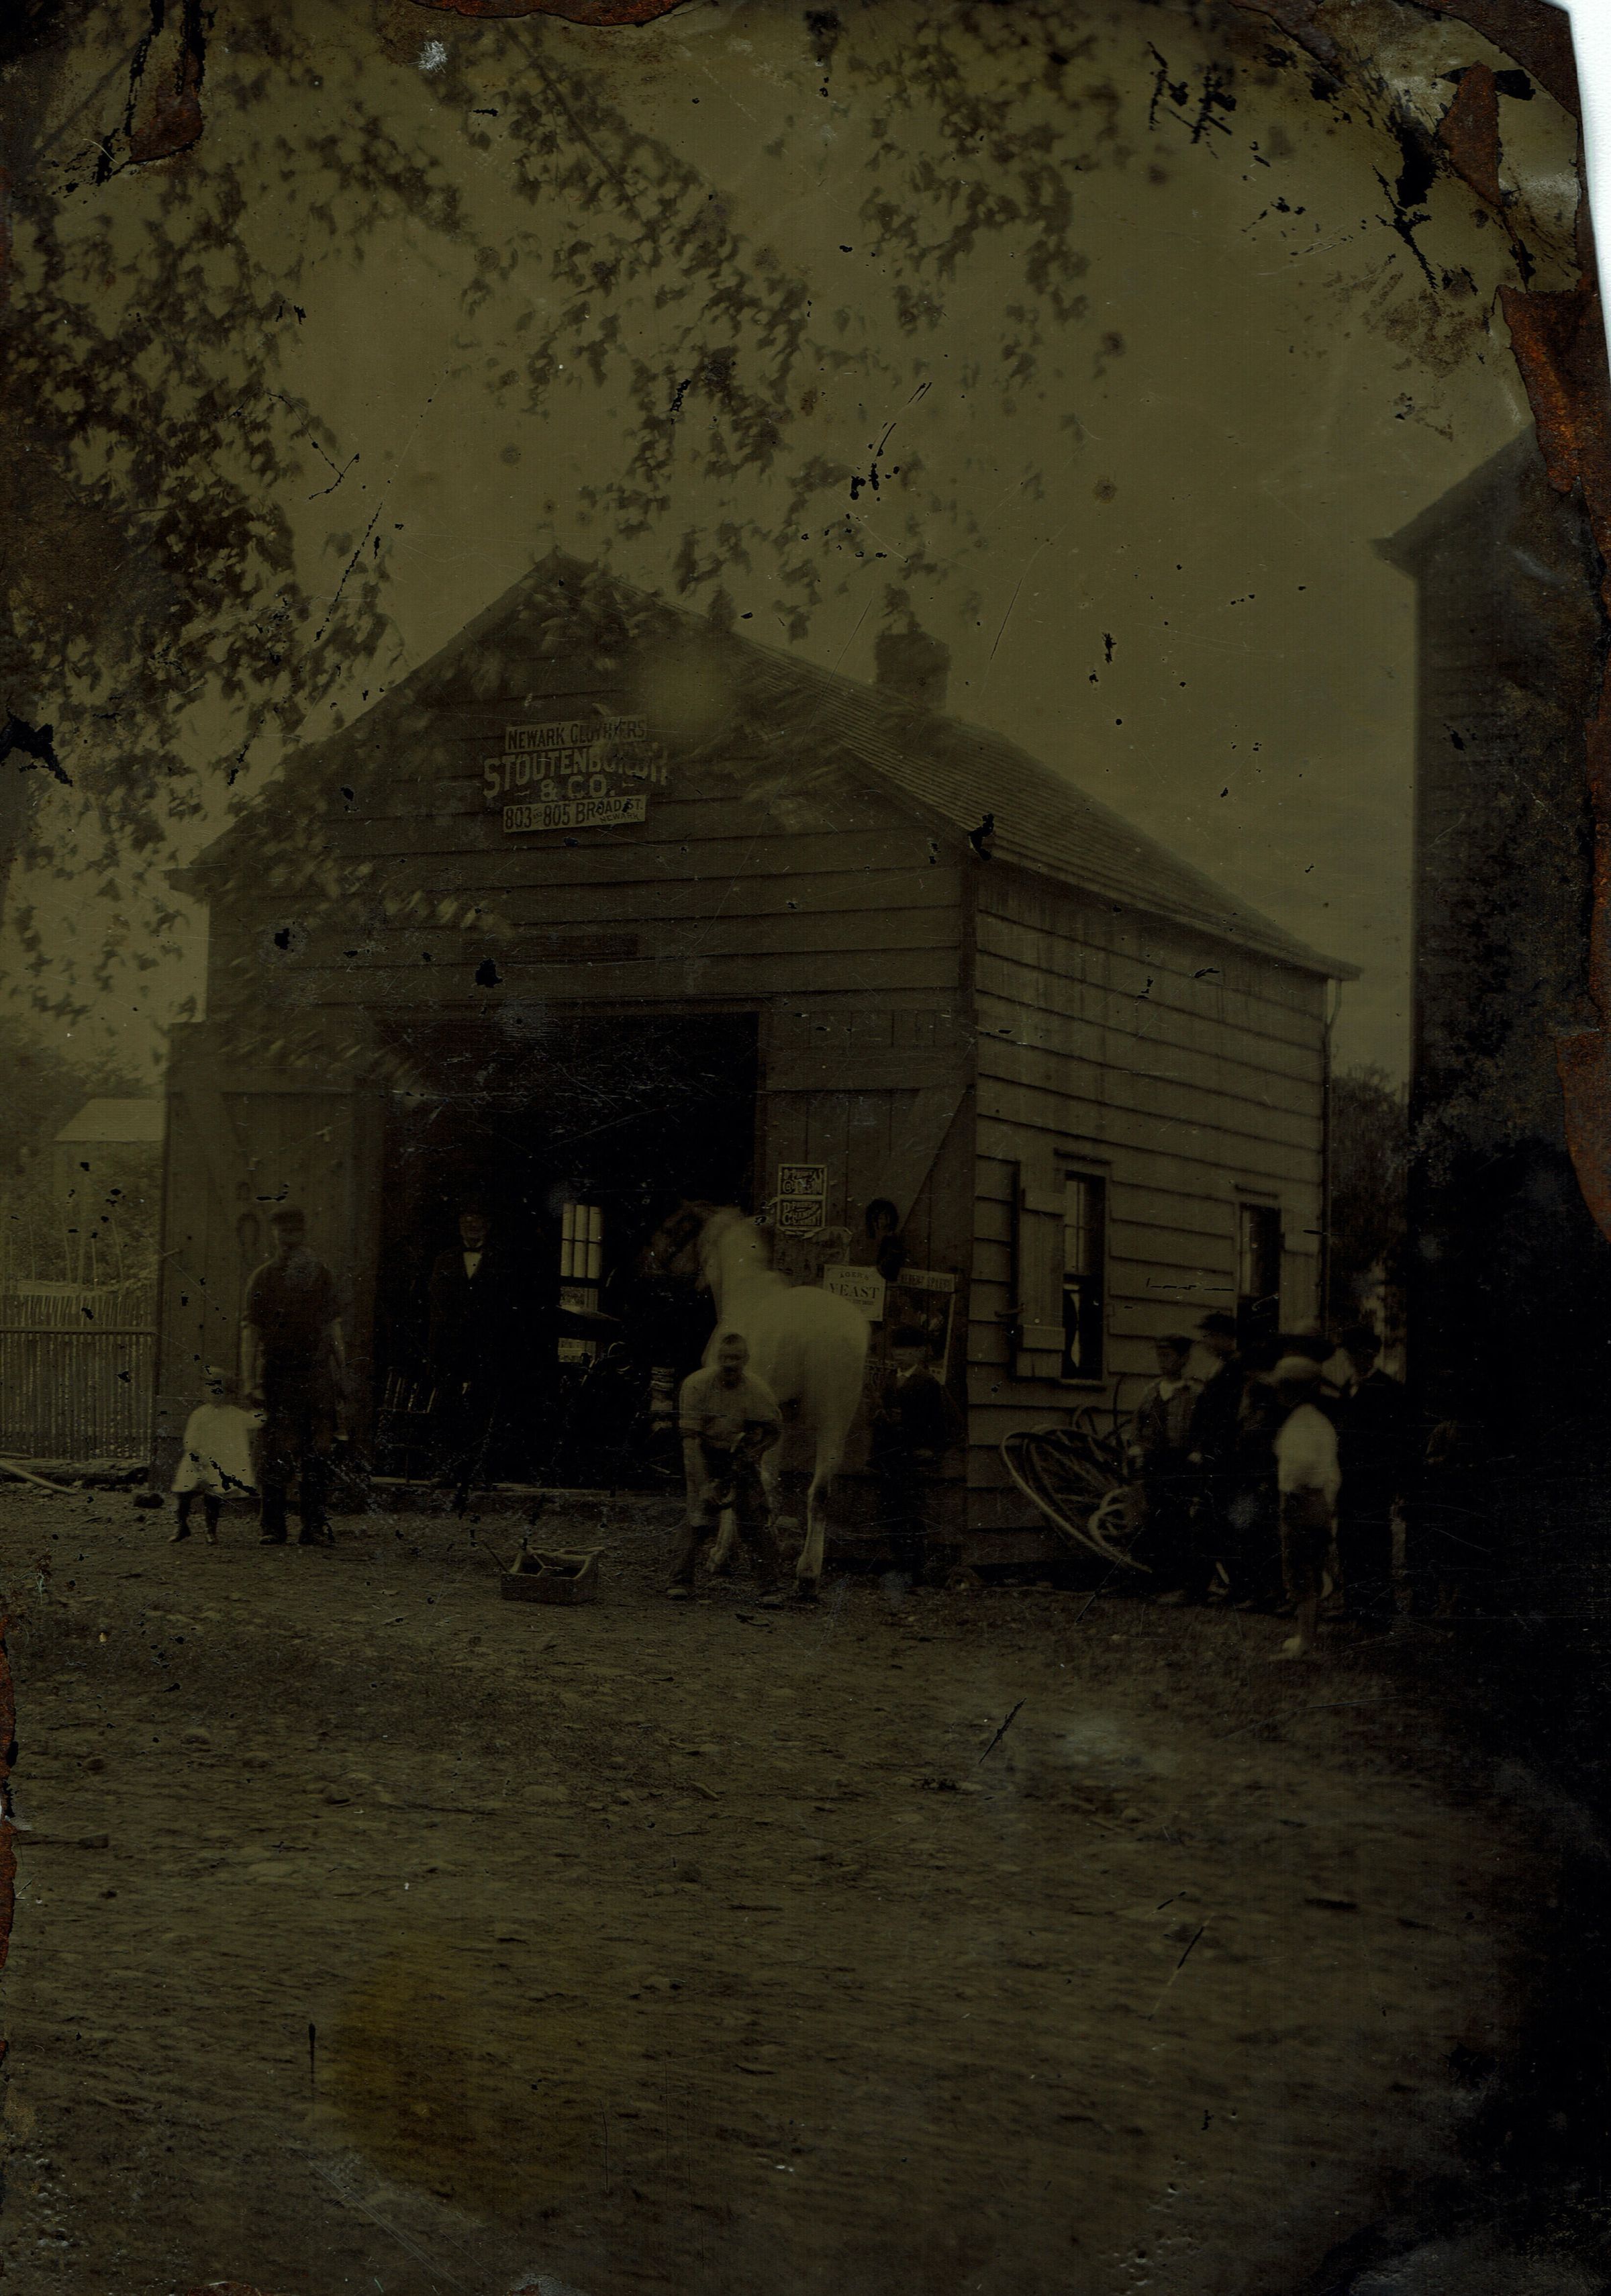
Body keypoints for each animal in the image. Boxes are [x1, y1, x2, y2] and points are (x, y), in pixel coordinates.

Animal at [645, 1201, 869, 1599]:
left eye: (671, 1228)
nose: (647, 1264)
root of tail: (823, 1331)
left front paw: (721, 1555)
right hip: (836, 1418)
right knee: (820, 1491)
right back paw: (806, 1574)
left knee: (769, 1483)